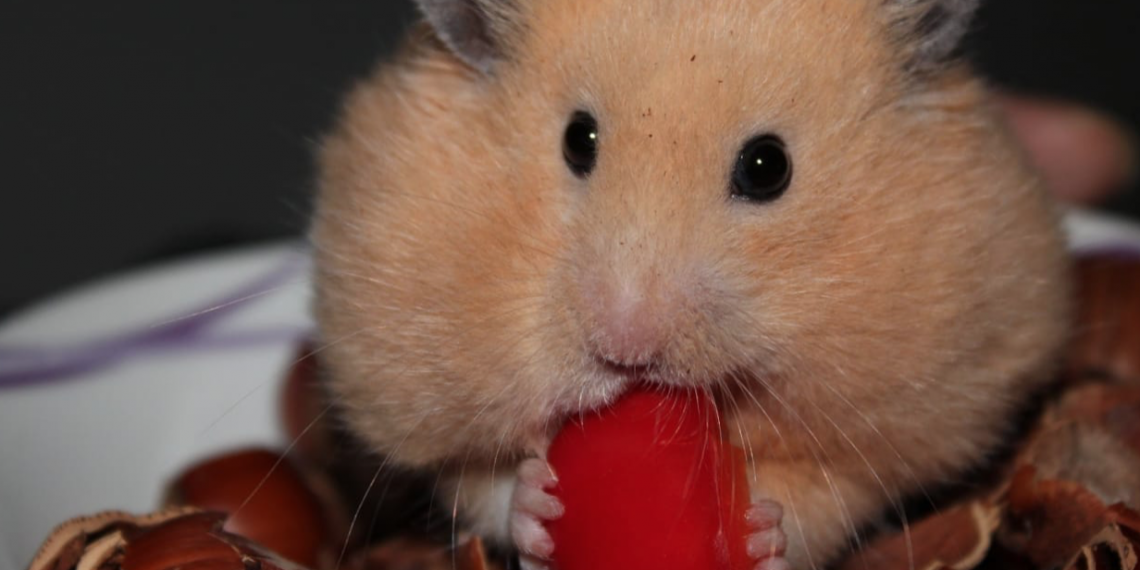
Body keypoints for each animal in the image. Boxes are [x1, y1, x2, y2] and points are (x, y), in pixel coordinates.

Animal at [310, 0, 1071, 567]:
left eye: (768, 166)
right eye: (577, 140)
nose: (624, 351)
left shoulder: (894, 425)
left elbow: (823, 499)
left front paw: (764, 529)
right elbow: (477, 479)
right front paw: (539, 504)